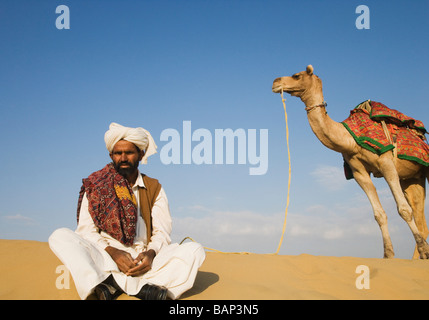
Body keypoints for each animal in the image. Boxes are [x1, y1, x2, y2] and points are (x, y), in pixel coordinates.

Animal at [270, 66, 428, 258]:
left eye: (296, 76)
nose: (275, 82)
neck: (350, 139)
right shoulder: (359, 172)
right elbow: (379, 214)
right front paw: (388, 255)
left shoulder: (386, 163)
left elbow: (404, 210)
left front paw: (420, 250)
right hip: (412, 178)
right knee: (421, 220)